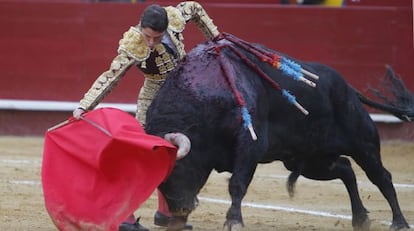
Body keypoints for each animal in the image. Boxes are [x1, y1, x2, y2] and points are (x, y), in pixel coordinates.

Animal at [145, 34, 410, 231]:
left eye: (178, 167)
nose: (179, 209)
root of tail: (348, 88)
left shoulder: (250, 146)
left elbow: (237, 184)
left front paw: (233, 221)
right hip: (309, 160)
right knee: (345, 169)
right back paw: (360, 219)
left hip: (363, 143)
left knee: (381, 177)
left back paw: (399, 222)